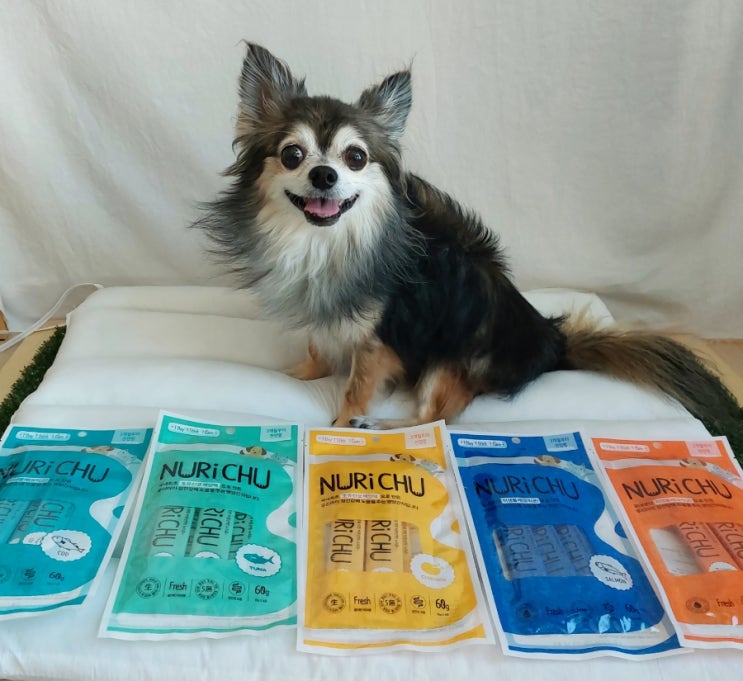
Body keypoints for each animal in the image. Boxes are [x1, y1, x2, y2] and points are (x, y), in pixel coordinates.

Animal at [195, 42, 742, 439]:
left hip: (451, 359)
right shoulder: (326, 306)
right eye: (292, 155)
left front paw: (343, 422)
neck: (323, 242)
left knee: (435, 417)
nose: (324, 175)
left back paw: (382, 423)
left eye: (355, 157)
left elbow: (356, 387)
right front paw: (298, 374)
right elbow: (317, 347)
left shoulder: (382, 341)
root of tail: (551, 342)